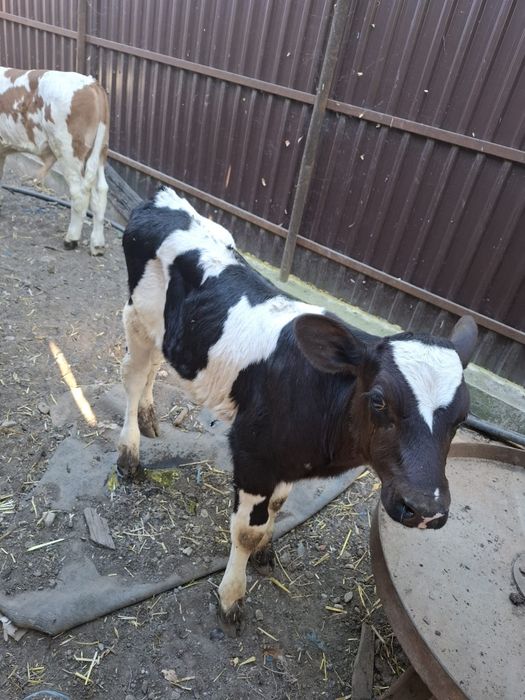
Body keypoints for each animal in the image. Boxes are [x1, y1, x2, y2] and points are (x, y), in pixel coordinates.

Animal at [0, 67, 109, 255]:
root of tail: (92, 84)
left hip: (68, 150)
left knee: (79, 193)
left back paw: (71, 239)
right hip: (99, 151)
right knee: (101, 191)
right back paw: (97, 245)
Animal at [117, 187, 478, 635]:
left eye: (463, 417)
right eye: (378, 400)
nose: (426, 510)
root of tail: (163, 199)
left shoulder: (286, 458)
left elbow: (275, 507)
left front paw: (266, 548)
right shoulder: (253, 454)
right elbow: (245, 531)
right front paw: (232, 596)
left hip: (166, 333)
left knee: (154, 365)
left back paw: (149, 416)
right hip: (136, 316)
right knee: (133, 375)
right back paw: (129, 452)